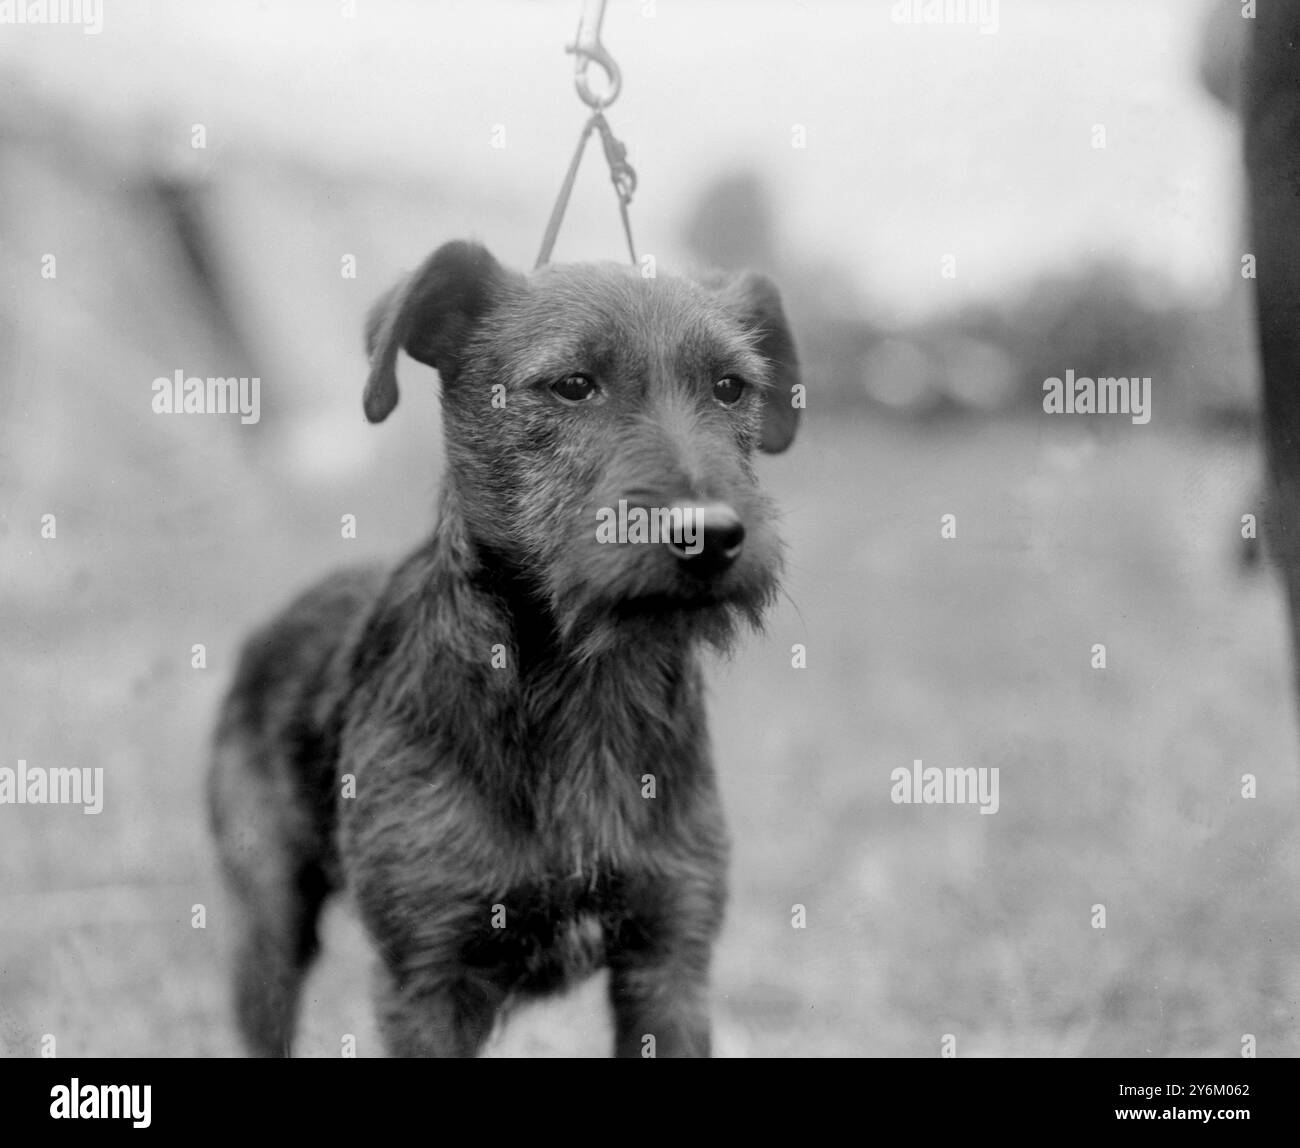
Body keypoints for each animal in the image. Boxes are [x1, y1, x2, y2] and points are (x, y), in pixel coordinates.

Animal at [206, 240, 795, 1060]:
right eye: (573, 385)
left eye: (731, 387)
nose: (708, 534)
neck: (582, 684)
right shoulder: (429, 981)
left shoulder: (670, 959)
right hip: (269, 921)